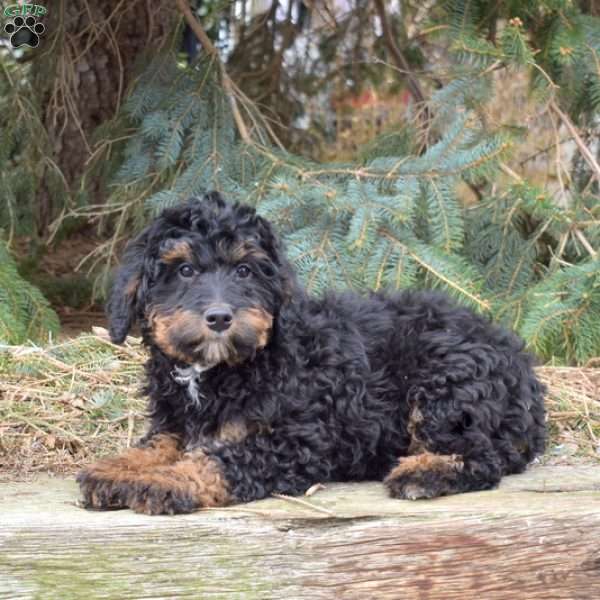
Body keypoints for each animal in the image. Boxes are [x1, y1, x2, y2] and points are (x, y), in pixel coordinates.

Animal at [77, 192, 548, 516]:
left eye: (245, 270)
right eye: (185, 270)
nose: (220, 317)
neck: (220, 369)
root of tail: (520, 363)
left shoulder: (293, 441)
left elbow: (216, 461)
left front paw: (166, 482)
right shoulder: (177, 423)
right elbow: (157, 444)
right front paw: (117, 468)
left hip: (444, 384)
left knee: (482, 456)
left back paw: (423, 473)